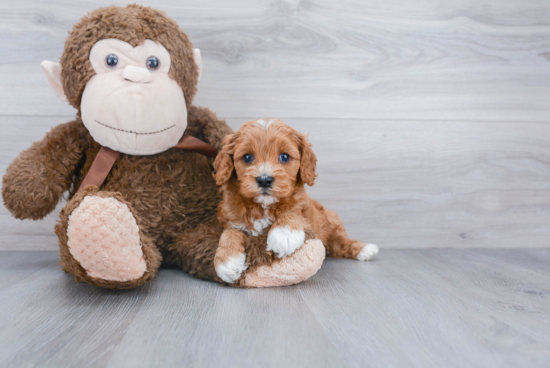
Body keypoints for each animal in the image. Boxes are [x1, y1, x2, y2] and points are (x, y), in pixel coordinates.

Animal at [212, 119, 380, 284]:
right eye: (247, 157)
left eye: (284, 157)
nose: (264, 180)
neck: (263, 206)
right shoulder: (233, 221)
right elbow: (229, 233)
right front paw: (227, 262)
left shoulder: (303, 212)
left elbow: (291, 213)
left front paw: (284, 234)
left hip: (333, 222)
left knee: (342, 244)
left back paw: (365, 249)